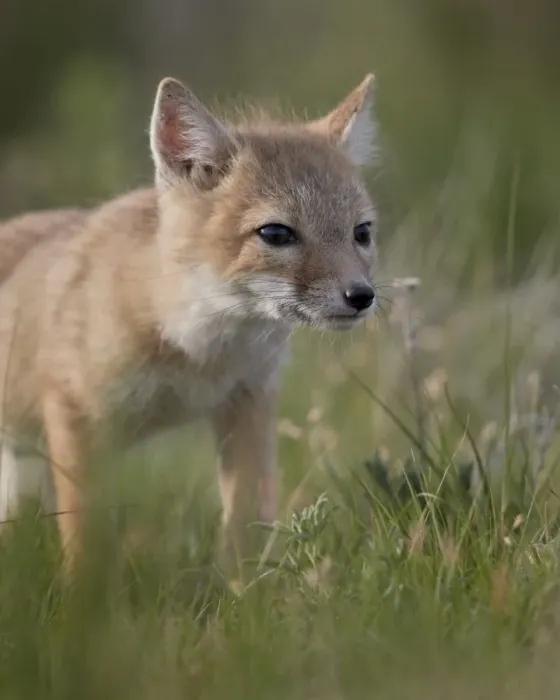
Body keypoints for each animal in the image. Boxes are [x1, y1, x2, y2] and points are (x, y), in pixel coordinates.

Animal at [0, 73, 379, 577]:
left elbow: (245, 528)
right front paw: (85, 598)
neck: (197, 356)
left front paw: (249, 594)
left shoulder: (249, 402)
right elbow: (86, 543)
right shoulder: (74, 414)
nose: (362, 296)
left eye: (362, 233)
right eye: (276, 234)